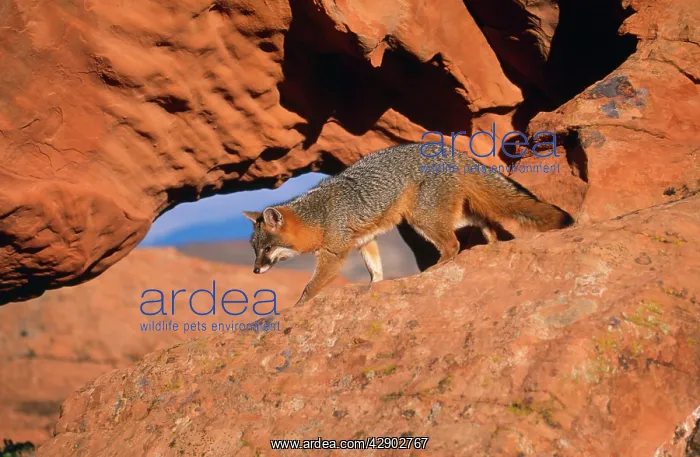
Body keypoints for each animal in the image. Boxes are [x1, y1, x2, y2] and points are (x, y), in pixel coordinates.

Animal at [243, 142, 574, 306]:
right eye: (254, 249)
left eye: (268, 249)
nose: (255, 271)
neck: (319, 215)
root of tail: (451, 150)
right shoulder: (364, 241)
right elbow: (375, 270)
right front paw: (374, 288)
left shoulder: (334, 254)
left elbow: (310, 287)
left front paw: (297, 307)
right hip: (446, 213)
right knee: (484, 219)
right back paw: (491, 241)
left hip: (421, 218)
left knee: (452, 245)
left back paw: (435, 269)